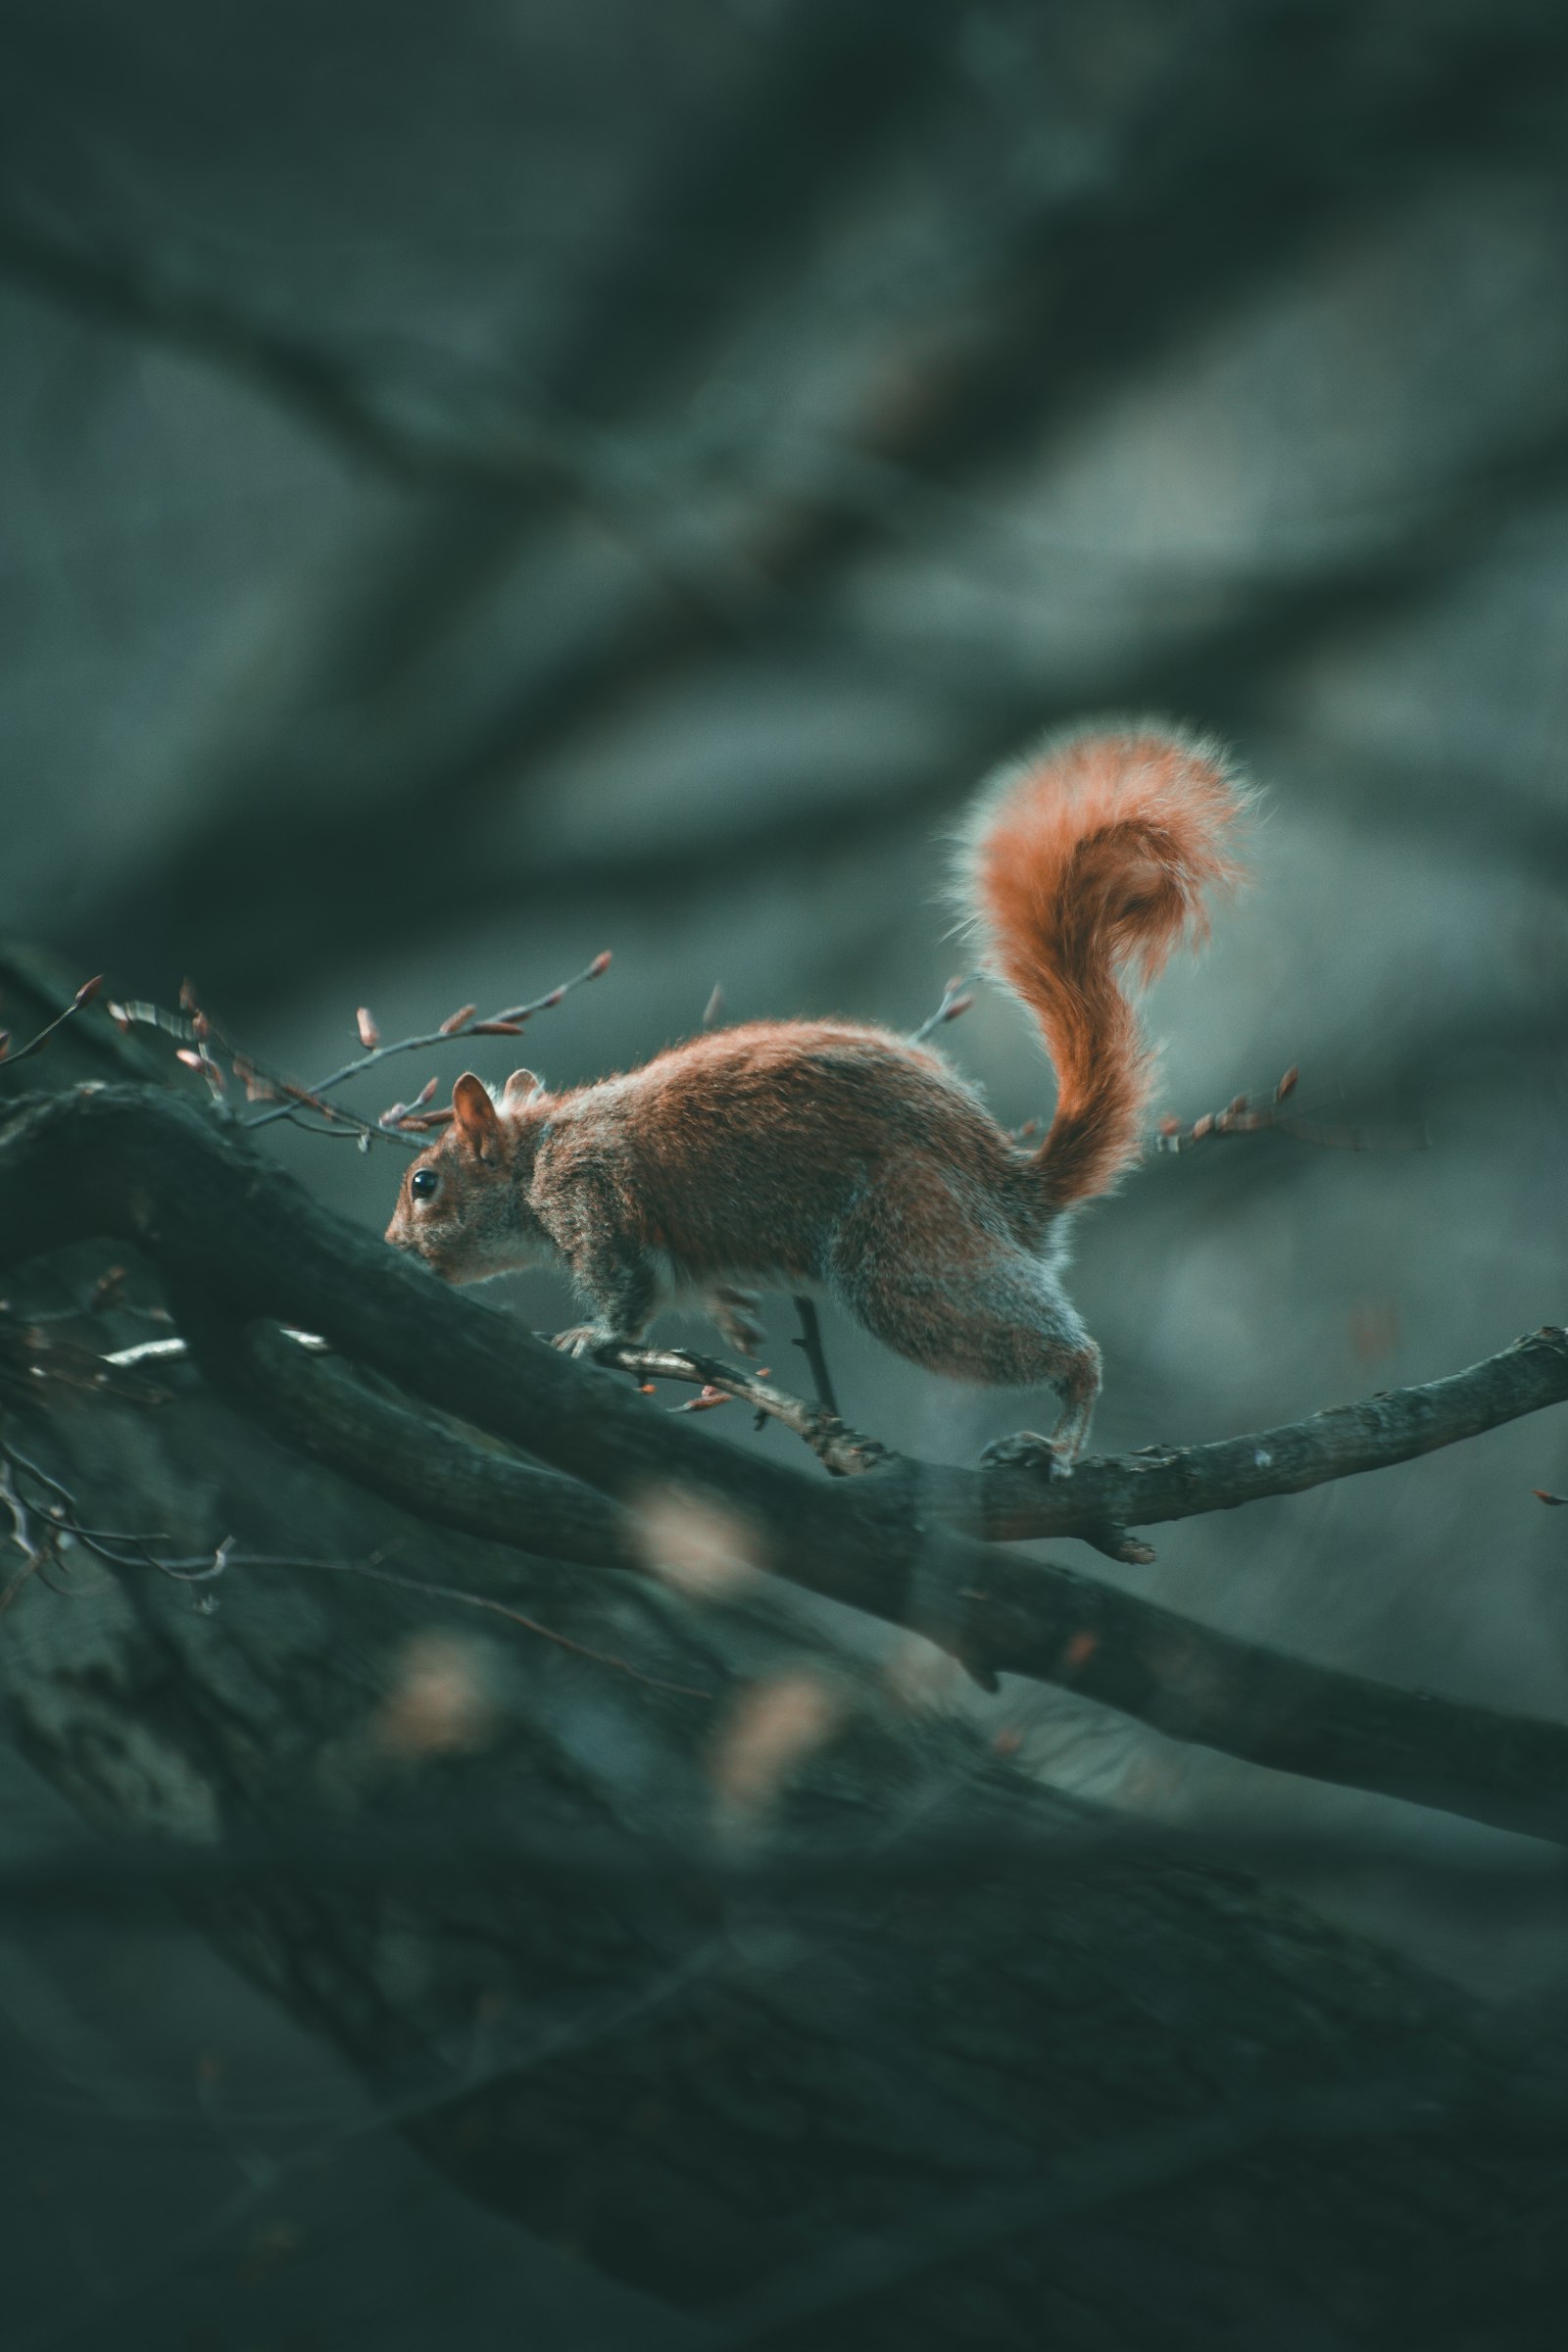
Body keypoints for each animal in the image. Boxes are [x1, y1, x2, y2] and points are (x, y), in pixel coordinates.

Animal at [390, 714, 1250, 1458]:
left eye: (424, 1183)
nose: (396, 1248)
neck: (539, 1152)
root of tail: (1014, 1193)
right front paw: (729, 1318)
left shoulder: (591, 1196)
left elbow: (626, 1292)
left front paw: (595, 1337)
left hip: (906, 1255)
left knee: (1053, 1347)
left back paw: (1063, 1432)